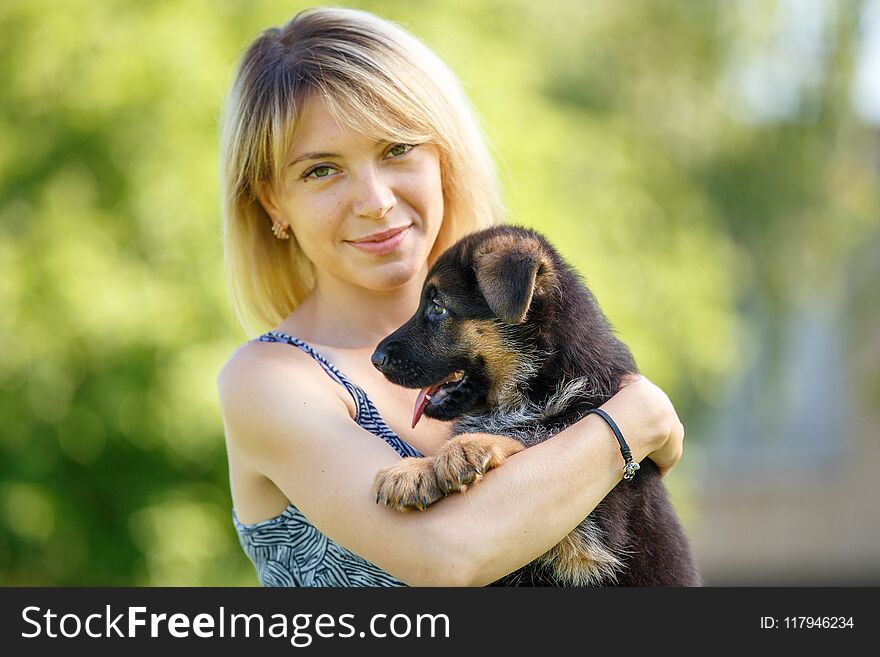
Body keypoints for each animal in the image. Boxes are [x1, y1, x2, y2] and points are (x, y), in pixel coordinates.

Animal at [368, 224, 696, 584]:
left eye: (438, 307)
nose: (376, 358)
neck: (543, 380)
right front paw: (416, 469)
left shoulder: (588, 536)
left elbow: (534, 434)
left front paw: (456, 451)